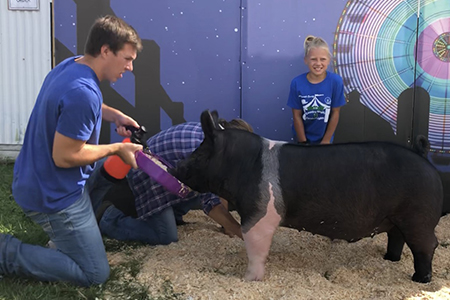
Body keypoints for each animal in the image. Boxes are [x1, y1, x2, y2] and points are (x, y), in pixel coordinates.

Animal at [171, 110, 444, 284]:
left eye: (199, 152)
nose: (176, 167)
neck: (241, 164)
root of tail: (422, 155)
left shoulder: (260, 214)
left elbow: (255, 246)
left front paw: (248, 280)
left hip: (418, 217)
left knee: (427, 245)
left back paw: (419, 280)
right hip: (397, 218)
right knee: (397, 238)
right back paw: (389, 259)